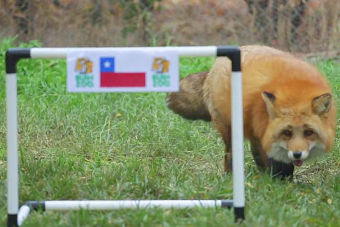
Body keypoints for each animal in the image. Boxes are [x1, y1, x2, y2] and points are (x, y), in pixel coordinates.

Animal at [166, 45, 336, 178]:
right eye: (287, 133)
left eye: (309, 133)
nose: (297, 154)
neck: (294, 92)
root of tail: (214, 67)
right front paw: (278, 180)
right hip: (230, 129)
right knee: (230, 155)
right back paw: (231, 175)